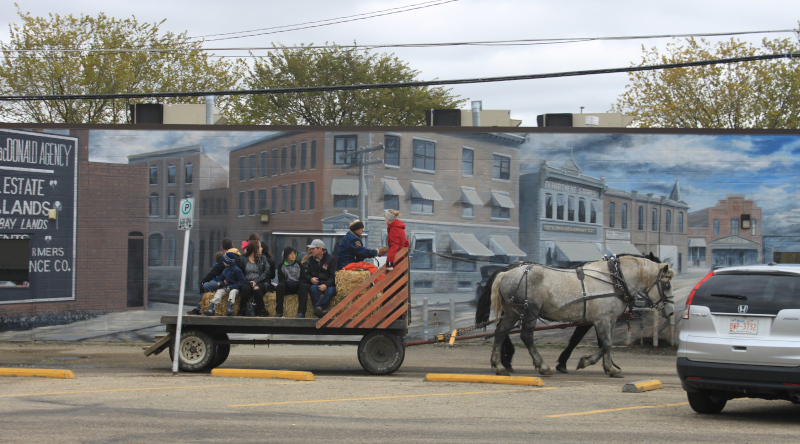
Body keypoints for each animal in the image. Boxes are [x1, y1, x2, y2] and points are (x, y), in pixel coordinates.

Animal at [484, 256, 672, 378]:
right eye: (667, 285)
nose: (670, 312)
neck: (614, 280)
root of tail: (506, 274)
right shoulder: (600, 320)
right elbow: (605, 344)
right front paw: (585, 361)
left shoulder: (609, 320)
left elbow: (608, 344)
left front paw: (611, 368)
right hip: (530, 311)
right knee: (526, 336)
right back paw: (542, 366)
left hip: (512, 313)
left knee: (500, 332)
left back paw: (499, 365)